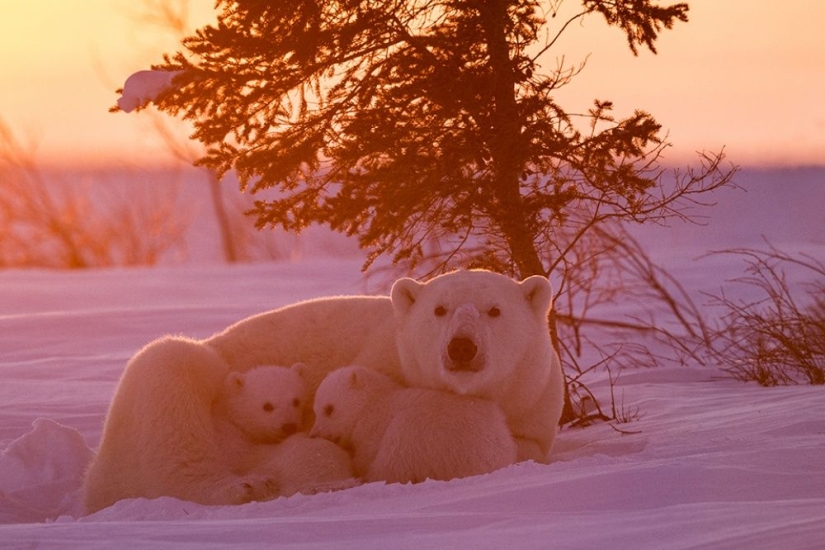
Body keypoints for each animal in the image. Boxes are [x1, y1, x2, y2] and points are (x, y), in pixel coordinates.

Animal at [310, 368, 516, 486]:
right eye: (315, 410)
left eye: (329, 409)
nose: (313, 434)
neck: (374, 403)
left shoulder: (374, 428)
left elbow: (368, 457)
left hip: (424, 435)